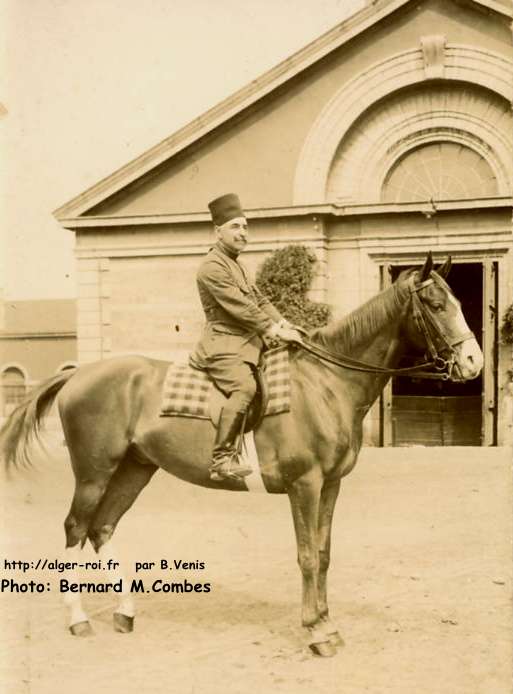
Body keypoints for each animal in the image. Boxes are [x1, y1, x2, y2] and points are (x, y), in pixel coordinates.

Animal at [0, 253, 480, 656]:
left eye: (457, 300)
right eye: (436, 304)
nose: (474, 363)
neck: (325, 382)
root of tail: (81, 373)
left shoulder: (331, 485)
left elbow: (324, 553)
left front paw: (327, 623)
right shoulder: (305, 484)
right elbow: (307, 556)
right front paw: (315, 631)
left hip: (135, 469)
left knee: (102, 528)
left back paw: (124, 614)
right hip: (94, 472)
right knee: (76, 529)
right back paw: (79, 620)